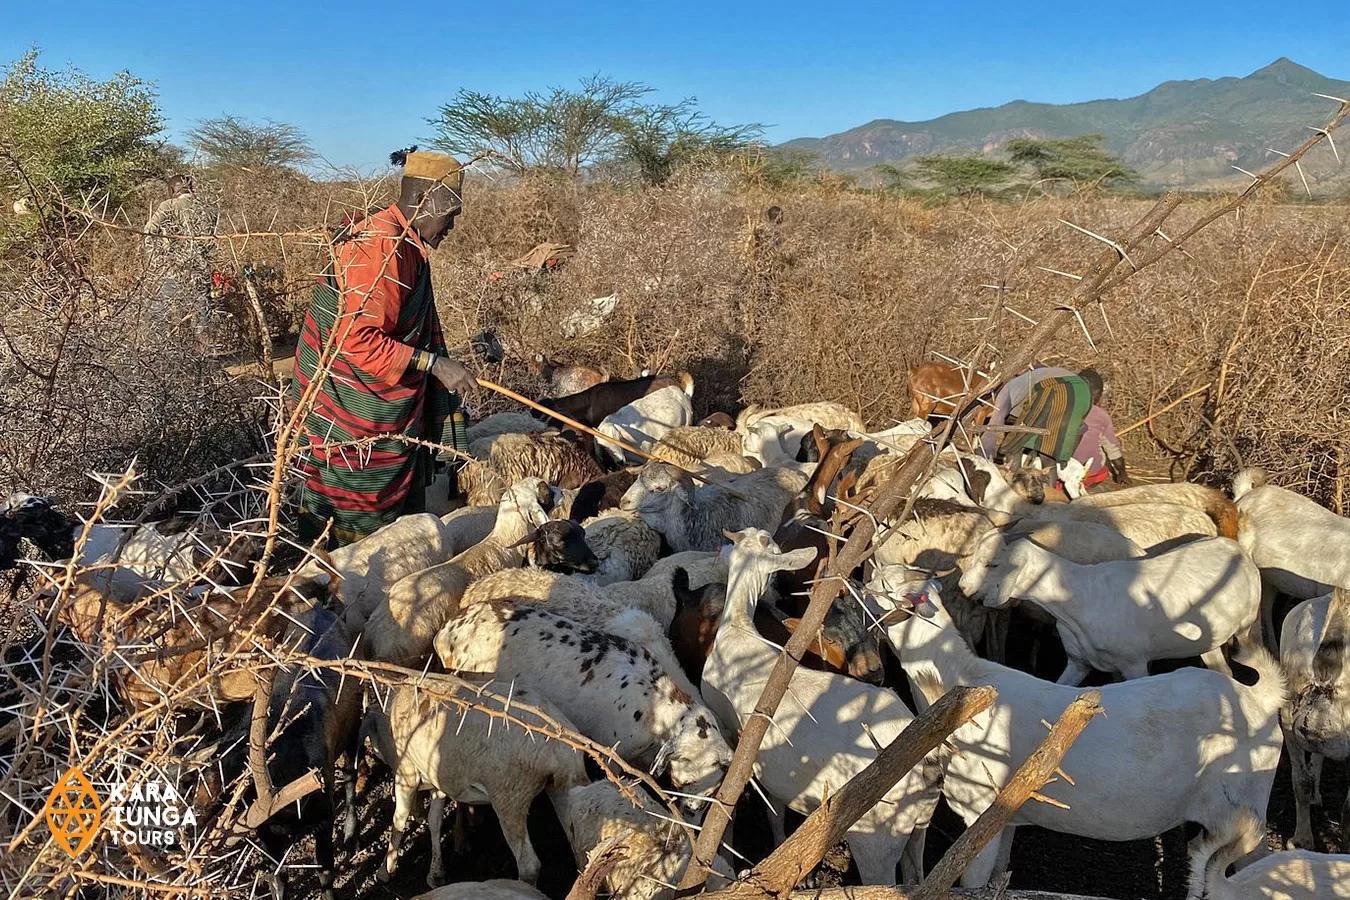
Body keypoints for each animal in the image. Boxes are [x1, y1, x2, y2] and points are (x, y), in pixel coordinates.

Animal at [702, 531, 945, 885]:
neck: (737, 627)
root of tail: (928, 763)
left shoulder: (729, 726)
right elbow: (775, 808)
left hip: (877, 834)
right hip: (919, 824)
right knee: (917, 875)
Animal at [874, 577, 1285, 895]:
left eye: (882, 583)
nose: (859, 585)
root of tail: (1258, 697)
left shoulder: (977, 804)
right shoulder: (1006, 816)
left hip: (1248, 798)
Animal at [966, 534, 1258, 682]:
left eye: (992, 564)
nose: (963, 586)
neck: (1078, 597)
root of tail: (1239, 548)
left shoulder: (1134, 664)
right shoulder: (1079, 662)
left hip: (1247, 626)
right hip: (1208, 642)